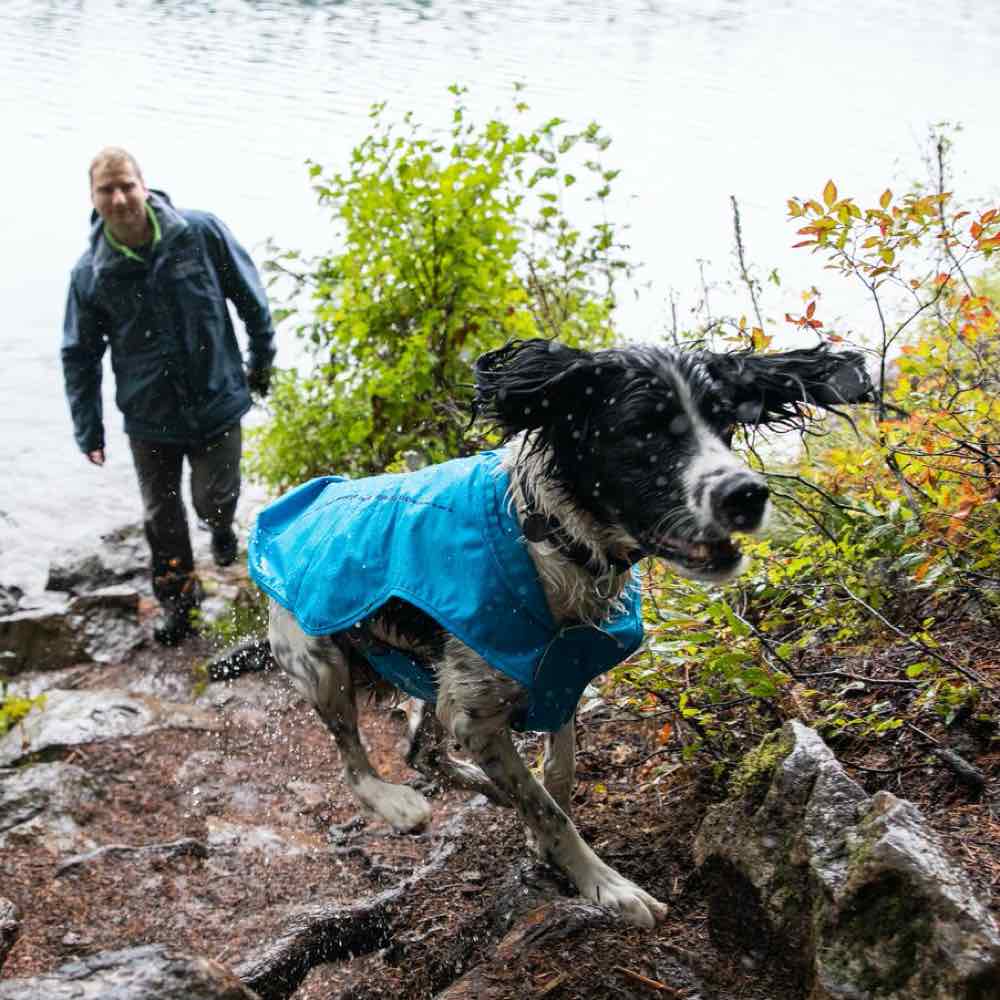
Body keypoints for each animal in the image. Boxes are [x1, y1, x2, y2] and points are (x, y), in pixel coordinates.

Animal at [254, 338, 872, 928]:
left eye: (725, 422)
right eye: (642, 428)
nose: (746, 494)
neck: (553, 537)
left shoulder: (557, 675)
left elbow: (557, 775)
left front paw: (547, 840)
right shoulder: (477, 712)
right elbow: (546, 807)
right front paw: (606, 885)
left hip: (427, 678)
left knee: (420, 751)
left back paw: (482, 786)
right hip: (320, 661)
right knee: (353, 764)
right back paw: (398, 805)